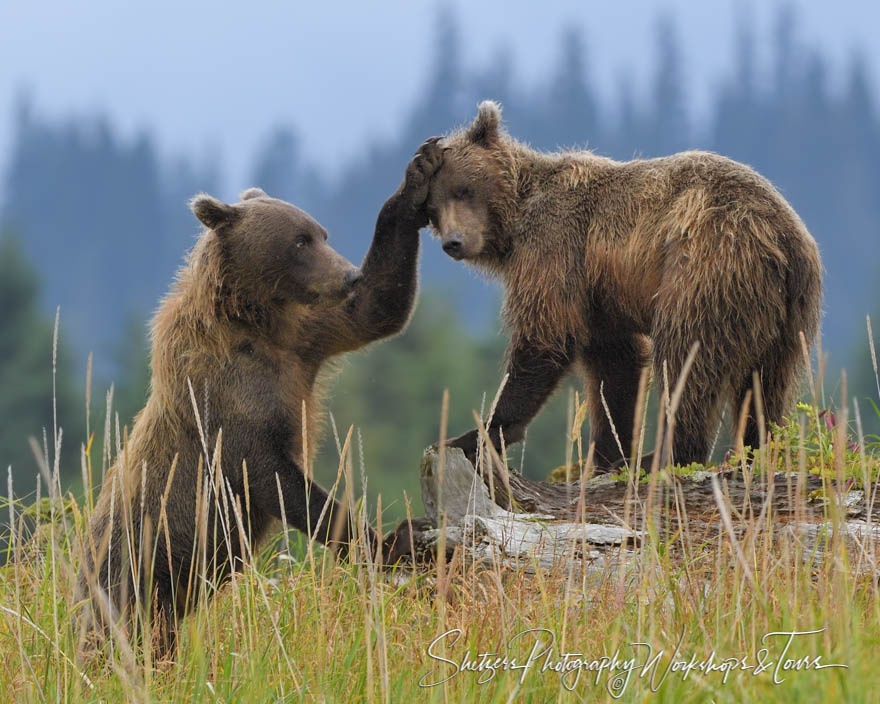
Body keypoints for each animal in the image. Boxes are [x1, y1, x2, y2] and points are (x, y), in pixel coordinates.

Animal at [76, 140, 444, 652]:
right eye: (299, 240)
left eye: (321, 233)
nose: (348, 275)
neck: (255, 320)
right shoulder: (224, 395)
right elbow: (274, 475)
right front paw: (394, 541)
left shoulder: (305, 340)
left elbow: (378, 307)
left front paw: (417, 178)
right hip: (130, 569)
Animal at [428, 102, 824, 470]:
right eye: (433, 207)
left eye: (463, 190)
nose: (454, 242)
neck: (517, 217)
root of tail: (783, 235)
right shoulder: (599, 296)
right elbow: (615, 365)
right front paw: (609, 452)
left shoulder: (557, 246)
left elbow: (546, 338)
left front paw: (476, 434)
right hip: (785, 315)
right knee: (767, 384)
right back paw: (760, 447)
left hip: (707, 266)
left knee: (685, 360)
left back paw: (666, 455)